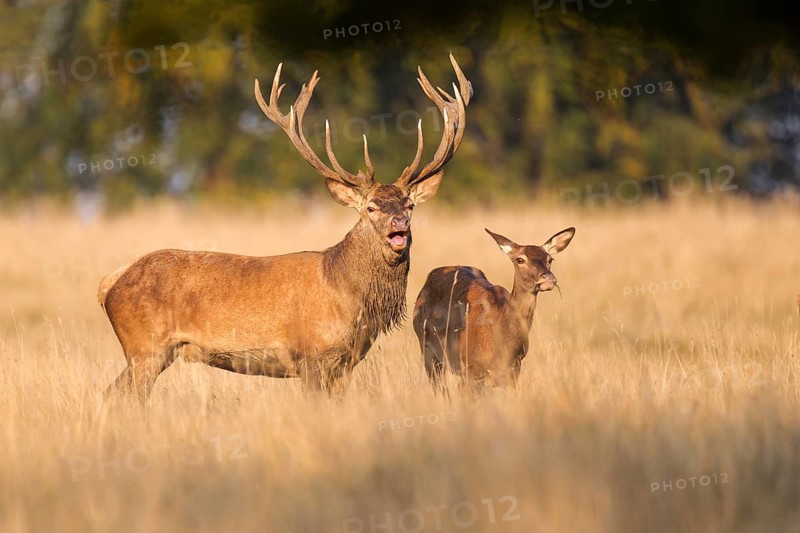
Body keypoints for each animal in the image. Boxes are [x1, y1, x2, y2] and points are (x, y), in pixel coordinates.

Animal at [98, 54, 472, 404]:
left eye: (409, 205)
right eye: (371, 208)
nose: (400, 224)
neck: (348, 295)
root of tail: (109, 284)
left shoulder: (346, 364)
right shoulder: (311, 357)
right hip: (145, 347)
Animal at [412, 227, 575, 392]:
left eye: (550, 259)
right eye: (520, 259)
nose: (548, 277)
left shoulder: (514, 371)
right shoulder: (469, 370)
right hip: (427, 350)